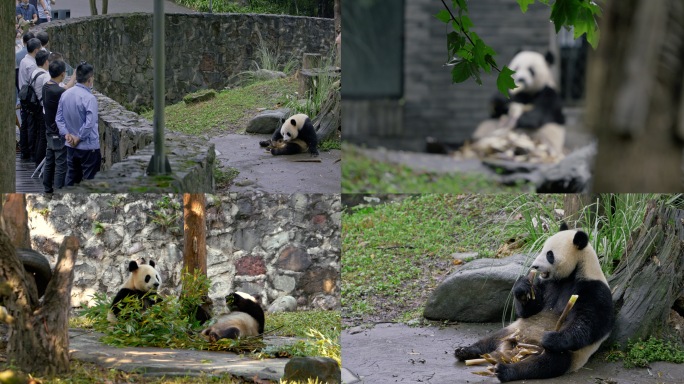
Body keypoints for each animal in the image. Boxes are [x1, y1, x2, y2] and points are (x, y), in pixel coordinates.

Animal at [454, 224, 616, 382]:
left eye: (549, 255)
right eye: (542, 249)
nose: (535, 266)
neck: (573, 274)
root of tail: (508, 351)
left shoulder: (593, 289)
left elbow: (588, 323)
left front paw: (551, 338)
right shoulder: (546, 284)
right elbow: (531, 309)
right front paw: (522, 288)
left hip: (565, 354)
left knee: (545, 364)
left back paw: (506, 370)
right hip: (514, 330)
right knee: (489, 340)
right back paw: (465, 351)